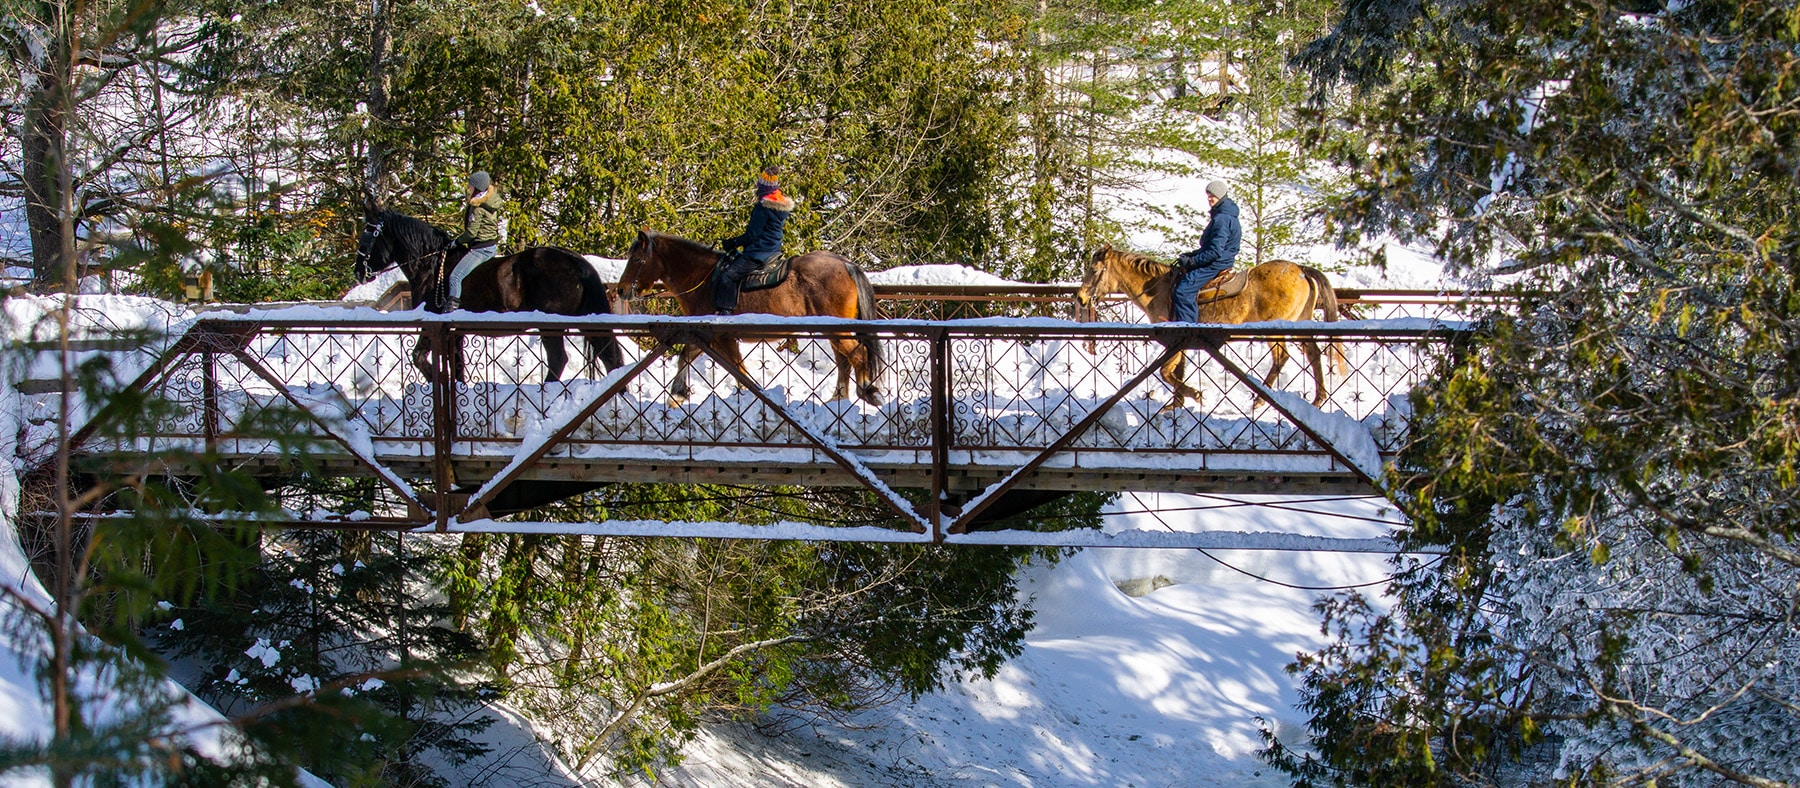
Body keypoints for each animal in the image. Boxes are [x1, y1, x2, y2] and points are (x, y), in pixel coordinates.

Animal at [355, 209, 626, 382]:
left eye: (368, 236)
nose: (358, 272)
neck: (432, 266)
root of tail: (576, 262)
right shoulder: (455, 333)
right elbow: (457, 366)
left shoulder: (433, 324)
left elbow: (419, 356)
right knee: (609, 355)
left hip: (551, 325)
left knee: (559, 359)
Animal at [615, 229, 883, 405]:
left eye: (637, 259)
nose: (621, 289)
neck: (704, 278)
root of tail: (846, 264)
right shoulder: (702, 335)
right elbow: (685, 357)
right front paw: (678, 395)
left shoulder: (720, 337)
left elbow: (739, 370)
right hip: (834, 329)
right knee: (845, 360)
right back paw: (839, 398)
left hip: (836, 330)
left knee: (857, 354)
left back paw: (867, 391)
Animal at [1074, 244, 1344, 409]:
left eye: (1094, 270)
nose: (1081, 298)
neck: (1158, 289)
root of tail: (1301, 271)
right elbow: (1177, 370)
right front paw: (1176, 404)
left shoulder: (1174, 339)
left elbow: (1166, 372)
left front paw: (1193, 395)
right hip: (1300, 323)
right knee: (1313, 353)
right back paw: (1318, 398)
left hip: (1273, 328)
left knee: (1282, 357)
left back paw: (1260, 400)